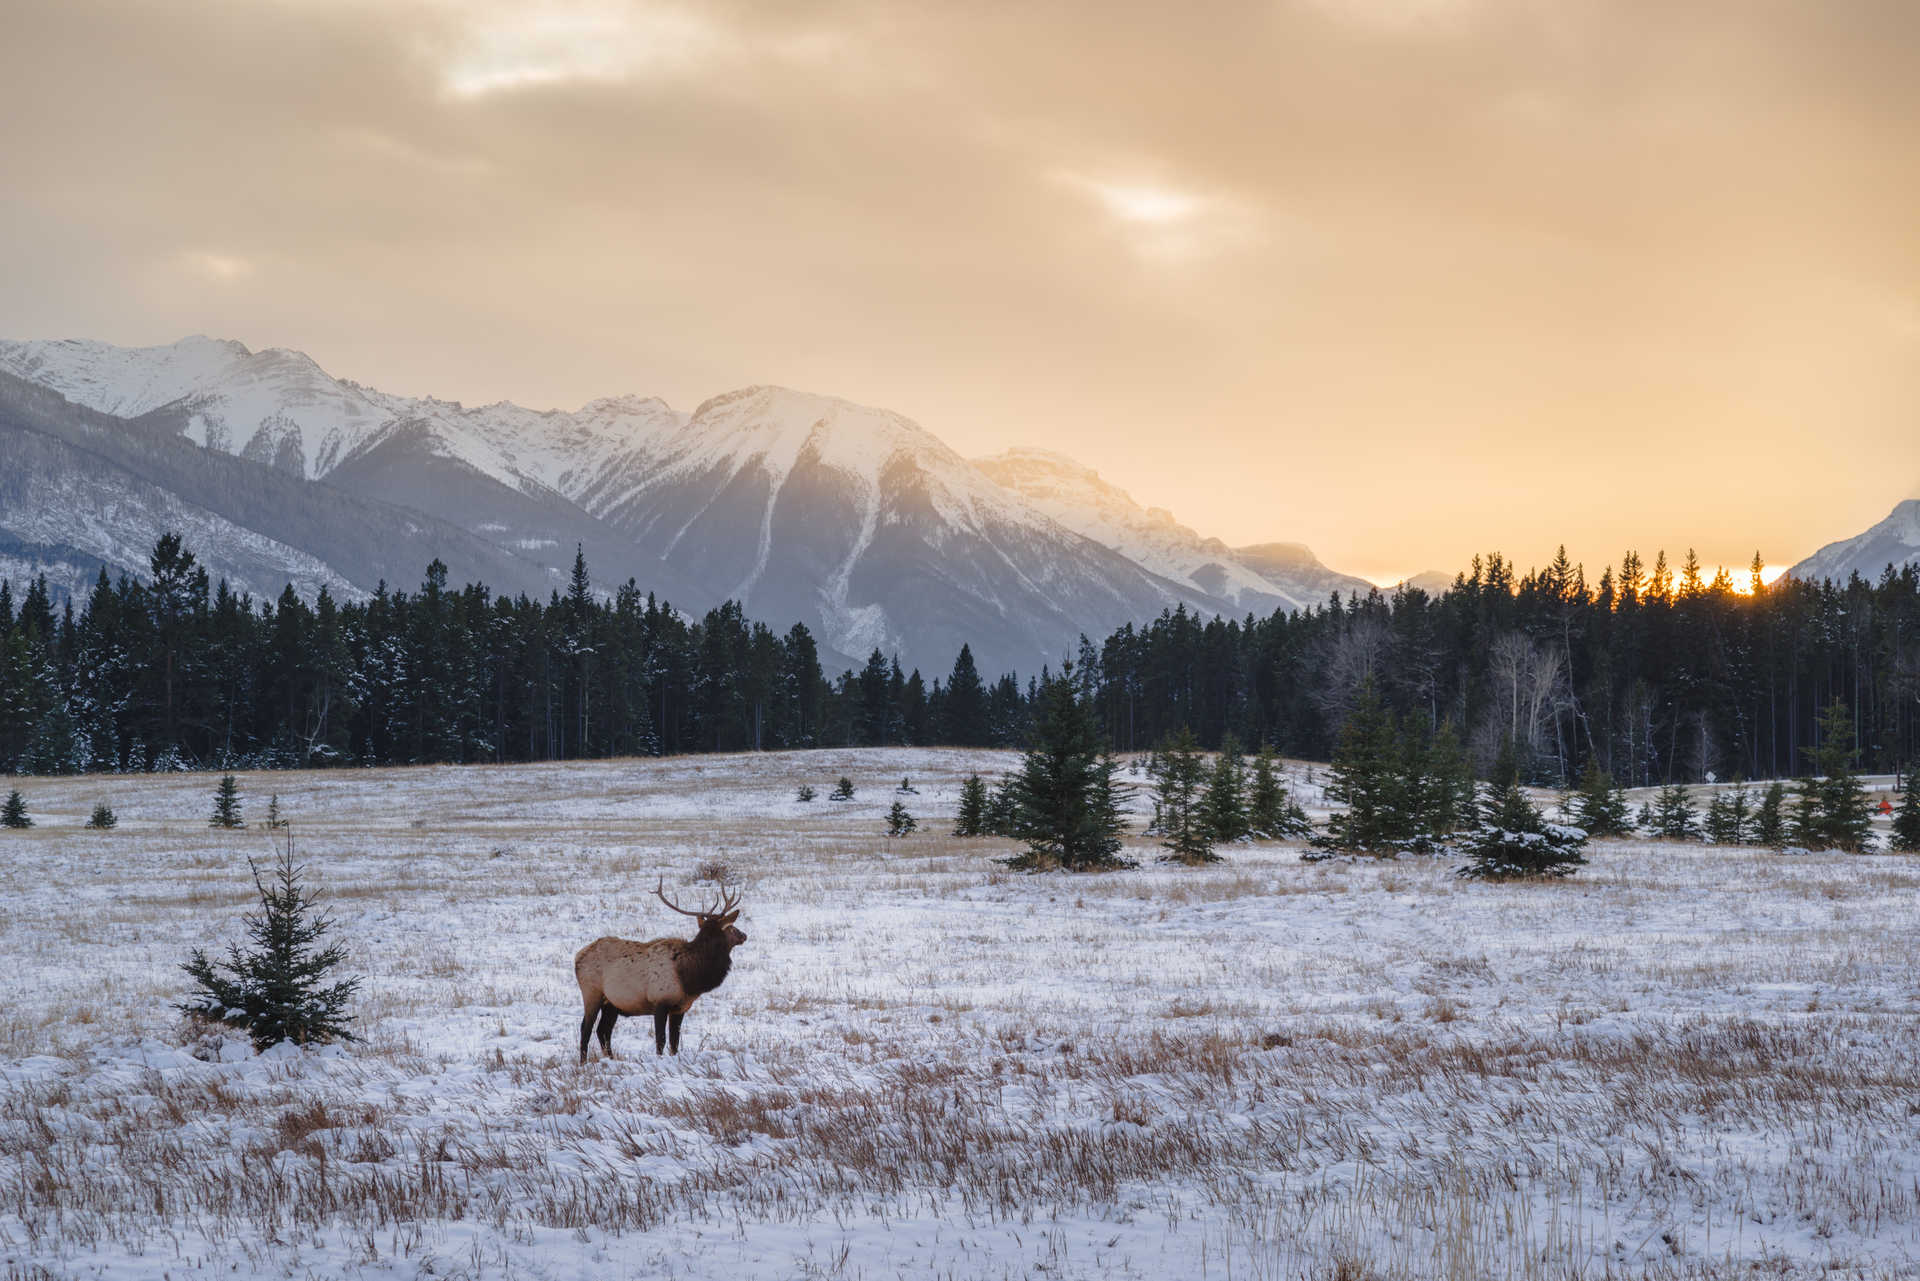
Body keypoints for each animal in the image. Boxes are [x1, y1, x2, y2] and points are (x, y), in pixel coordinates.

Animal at [572, 883, 744, 1060]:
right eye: (731, 927)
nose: (744, 935)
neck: (689, 977)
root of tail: (578, 956)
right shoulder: (660, 1002)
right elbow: (660, 1040)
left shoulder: (680, 1008)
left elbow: (675, 1043)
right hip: (592, 992)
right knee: (586, 1028)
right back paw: (583, 1062)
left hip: (612, 1003)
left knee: (603, 1030)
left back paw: (611, 1059)